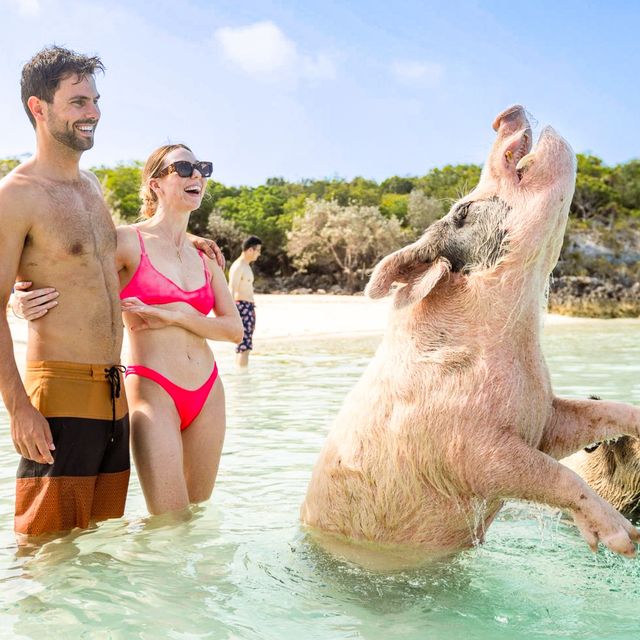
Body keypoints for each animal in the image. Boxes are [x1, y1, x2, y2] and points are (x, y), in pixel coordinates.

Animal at [301, 105, 640, 563]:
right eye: (462, 210)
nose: (505, 114)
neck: (516, 332)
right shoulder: (464, 448)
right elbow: (551, 474)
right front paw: (625, 541)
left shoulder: (543, 414)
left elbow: (599, 415)